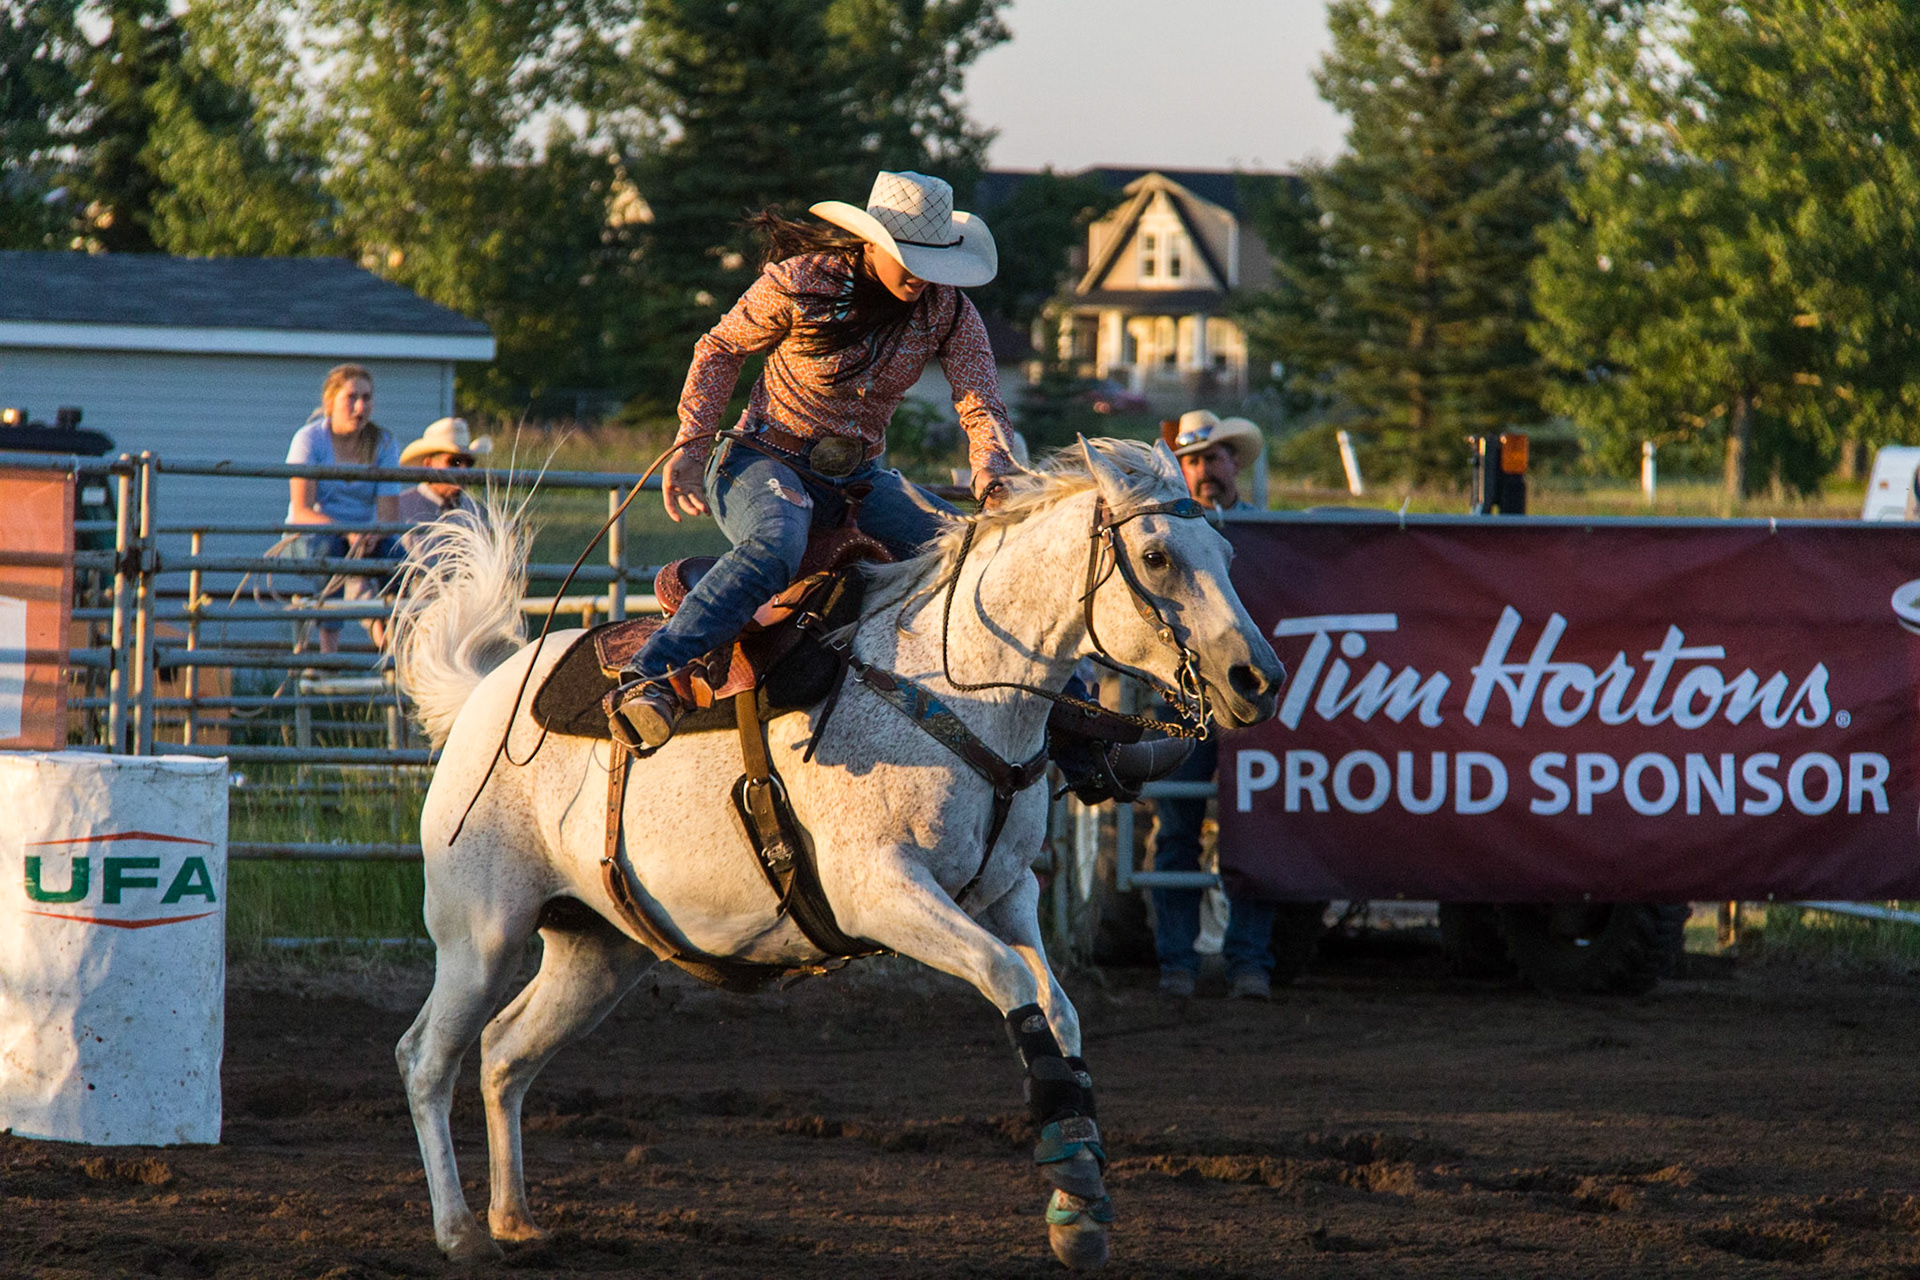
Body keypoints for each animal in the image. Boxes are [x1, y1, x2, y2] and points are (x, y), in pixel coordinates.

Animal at [389, 437, 1285, 1269]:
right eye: (1158, 556)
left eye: (1229, 554)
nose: (1259, 678)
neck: (956, 685)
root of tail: (485, 695)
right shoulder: (882, 894)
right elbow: (1006, 980)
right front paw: (1071, 1174)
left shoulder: (1006, 895)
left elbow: (1055, 1003)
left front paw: (1080, 1205)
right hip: (481, 933)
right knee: (427, 1059)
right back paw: (459, 1231)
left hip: (600, 951)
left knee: (505, 1054)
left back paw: (515, 1220)